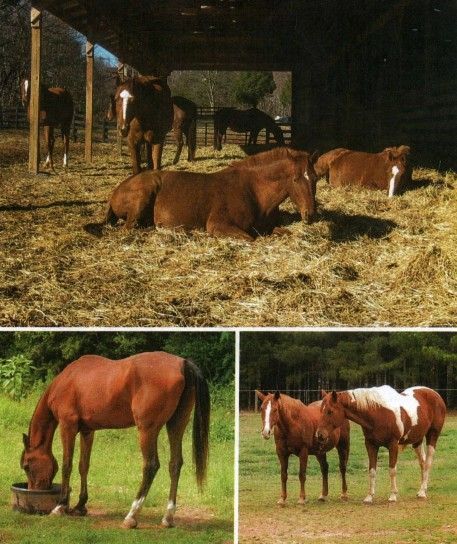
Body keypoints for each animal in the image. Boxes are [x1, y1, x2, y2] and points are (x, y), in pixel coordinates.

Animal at [19, 352, 208, 528]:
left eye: (27, 466)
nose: (33, 491)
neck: (67, 380)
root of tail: (182, 363)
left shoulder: (68, 426)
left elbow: (67, 466)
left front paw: (60, 506)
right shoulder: (87, 431)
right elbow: (83, 466)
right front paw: (80, 506)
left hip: (147, 430)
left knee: (151, 466)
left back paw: (131, 516)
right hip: (176, 425)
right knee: (175, 464)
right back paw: (168, 517)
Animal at [105, 147, 318, 240]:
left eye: (315, 178)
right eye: (295, 179)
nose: (311, 215)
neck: (254, 192)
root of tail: (117, 190)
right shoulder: (219, 225)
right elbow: (252, 238)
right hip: (144, 196)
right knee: (130, 228)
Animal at [316, 384, 444, 504]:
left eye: (330, 411)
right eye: (320, 410)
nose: (319, 435)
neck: (378, 413)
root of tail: (435, 394)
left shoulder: (393, 445)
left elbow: (392, 470)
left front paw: (392, 495)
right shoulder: (371, 445)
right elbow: (372, 471)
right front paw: (369, 497)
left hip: (433, 435)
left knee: (428, 463)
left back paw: (422, 492)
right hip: (417, 440)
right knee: (422, 462)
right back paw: (422, 490)